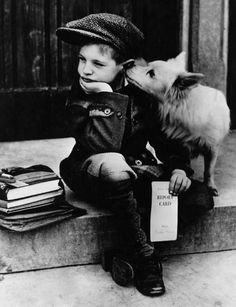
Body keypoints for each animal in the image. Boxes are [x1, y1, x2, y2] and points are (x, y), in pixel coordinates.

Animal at [126, 51, 230, 196]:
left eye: (151, 73)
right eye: (147, 65)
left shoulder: (212, 148)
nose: (128, 63)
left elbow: (208, 170)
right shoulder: (178, 146)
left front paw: (210, 186)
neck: (181, 107)